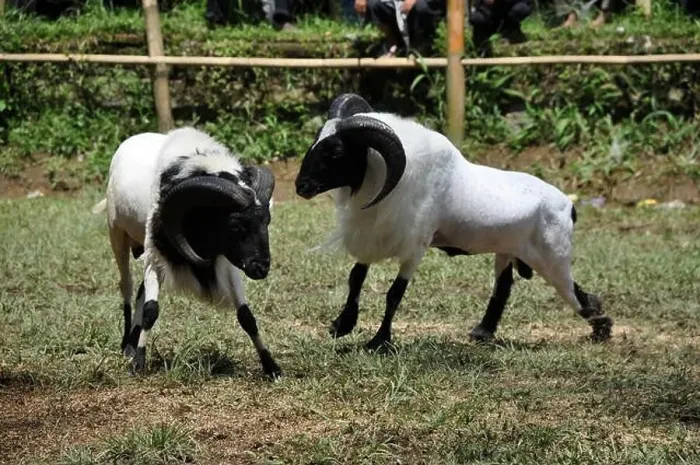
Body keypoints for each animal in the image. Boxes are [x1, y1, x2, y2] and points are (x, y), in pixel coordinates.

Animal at [93, 127, 281, 378]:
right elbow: (151, 311)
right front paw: (137, 364)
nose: (261, 267)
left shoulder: (226, 260)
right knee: (127, 285)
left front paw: (271, 367)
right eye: (235, 225)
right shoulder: (155, 254)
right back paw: (127, 345)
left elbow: (246, 316)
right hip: (116, 234)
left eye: (266, 221)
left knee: (140, 291)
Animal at [294, 93, 613, 351]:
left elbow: (394, 293)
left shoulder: (415, 246)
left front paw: (379, 341)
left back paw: (602, 326)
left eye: (336, 151)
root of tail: (569, 206)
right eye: (315, 141)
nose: (301, 186)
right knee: (505, 286)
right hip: (511, 251)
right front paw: (341, 325)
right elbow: (356, 278)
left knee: (572, 294)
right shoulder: (374, 237)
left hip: (552, 257)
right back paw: (483, 332)